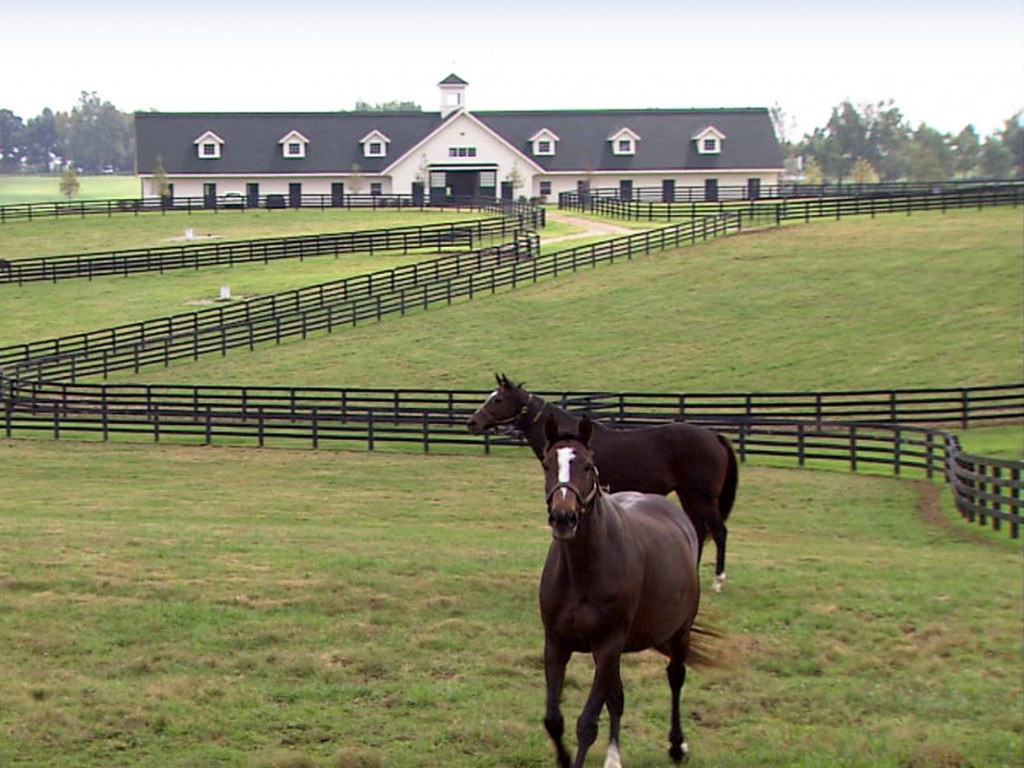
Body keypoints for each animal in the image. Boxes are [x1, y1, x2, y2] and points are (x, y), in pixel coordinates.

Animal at [468, 376, 741, 593]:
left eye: (498, 399)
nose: (473, 422)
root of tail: (714, 436)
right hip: (688, 495)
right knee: (698, 530)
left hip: (703, 497)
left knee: (719, 532)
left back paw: (718, 581)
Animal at [540, 417, 708, 765]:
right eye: (547, 464)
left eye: (587, 465)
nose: (563, 518)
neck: (582, 572)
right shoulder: (557, 643)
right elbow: (554, 720)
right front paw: (564, 758)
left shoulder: (608, 644)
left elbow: (586, 724)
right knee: (616, 697)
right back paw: (614, 756)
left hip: (679, 632)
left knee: (675, 677)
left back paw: (677, 746)